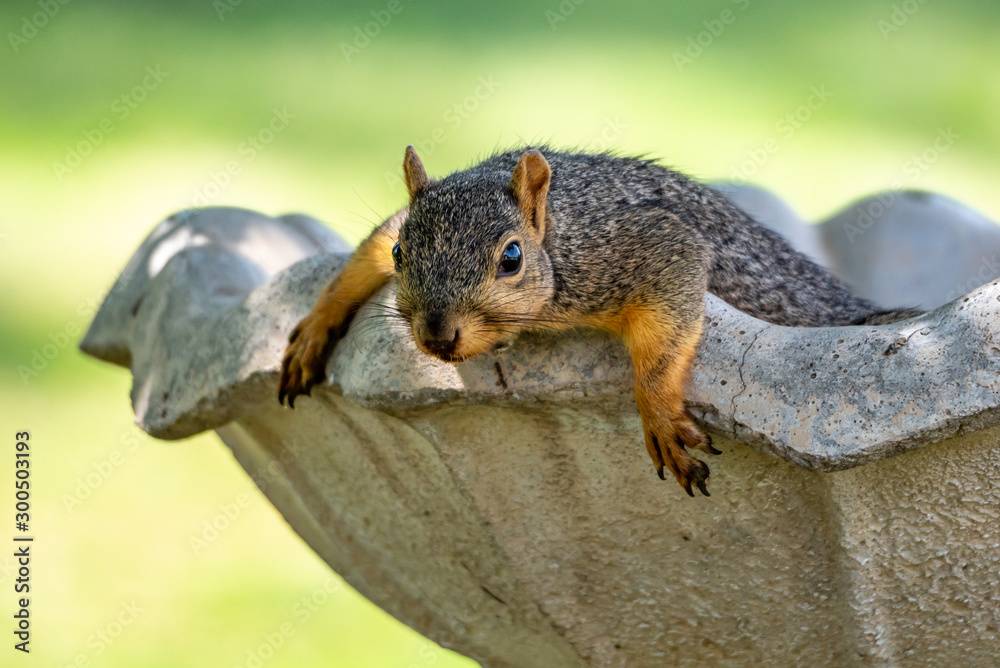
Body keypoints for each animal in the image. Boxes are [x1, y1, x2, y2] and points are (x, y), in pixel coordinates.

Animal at [278, 146, 921, 496]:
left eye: (512, 258)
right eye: (400, 255)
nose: (437, 335)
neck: (556, 232)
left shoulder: (638, 248)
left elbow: (661, 343)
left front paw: (658, 415)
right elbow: (365, 250)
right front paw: (313, 326)